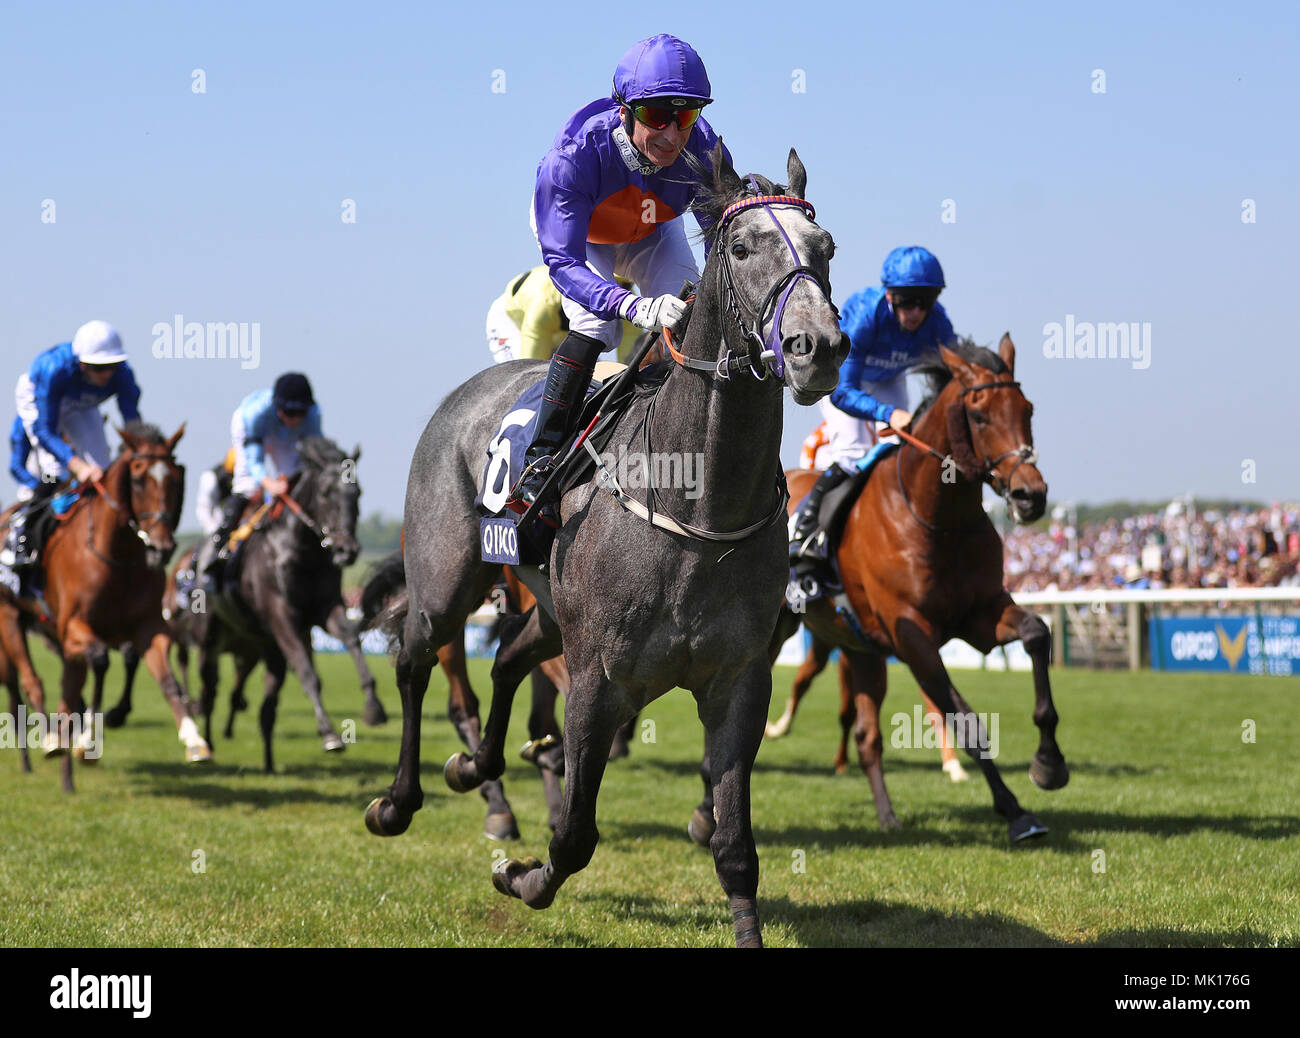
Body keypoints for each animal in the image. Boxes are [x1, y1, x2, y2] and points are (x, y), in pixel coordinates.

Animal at [183, 437, 379, 770]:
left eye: (358, 492)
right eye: (326, 492)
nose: (347, 550)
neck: (301, 552)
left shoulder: (326, 607)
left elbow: (352, 638)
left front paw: (373, 704)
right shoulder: (283, 616)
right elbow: (307, 673)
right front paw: (329, 734)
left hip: (264, 647)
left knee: (266, 707)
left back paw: (269, 762)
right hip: (208, 641)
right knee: (209, 694)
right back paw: (206, 745)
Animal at [361, 146, 847, 952]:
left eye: (827, 250)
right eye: (743, 249)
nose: (820, 348)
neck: (696, 503)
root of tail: (469, 391)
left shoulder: (739, 685)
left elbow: (735, 850)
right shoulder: (597, 682)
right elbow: (576, 835)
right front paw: (522, 879)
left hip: (552, 607)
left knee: (507, 657)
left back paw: (473, 765)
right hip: (446, 582)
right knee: (413, 658)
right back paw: (398, 801)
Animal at [702, 340, 1066, 842]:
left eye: (1027, 409)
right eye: (979, 416)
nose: (1031, 496)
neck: (935, 518)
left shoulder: (982, 614)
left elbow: (1036, 633)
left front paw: (1049, 764)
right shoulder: (912, 635)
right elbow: (966, 721)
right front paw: (1015, 811)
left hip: (860, 648)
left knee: (866, 735)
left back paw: (887, 815)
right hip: (774, 631)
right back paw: (707, 811)